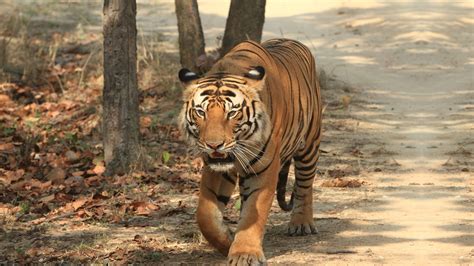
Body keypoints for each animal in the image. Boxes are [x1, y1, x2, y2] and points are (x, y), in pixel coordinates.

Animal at [178, 38, 322, 264]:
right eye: (201, 112)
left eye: (232, 113)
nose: (214, 145)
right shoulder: (216, 169)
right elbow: (206, 215)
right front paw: (227, 242)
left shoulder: (264, 169)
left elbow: (254, 213)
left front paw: (244, 254)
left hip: (309, 144)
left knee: (305, 185)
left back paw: (301, 223)